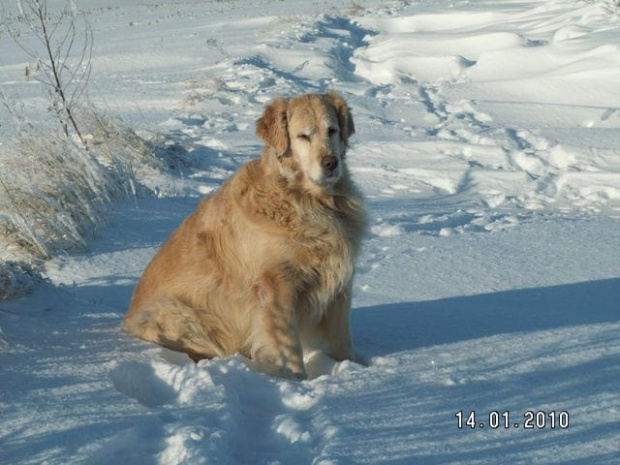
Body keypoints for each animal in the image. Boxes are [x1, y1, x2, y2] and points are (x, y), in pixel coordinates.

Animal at [125, 92, 366, 378]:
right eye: (303, 136)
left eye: (332, 130)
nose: (331, 163)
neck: (308, 200)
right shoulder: (276, 288)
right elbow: (289, 346)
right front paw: (297, 380)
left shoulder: (340, 281)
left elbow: (342, 339)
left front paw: (356, 369)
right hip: (177, 312)